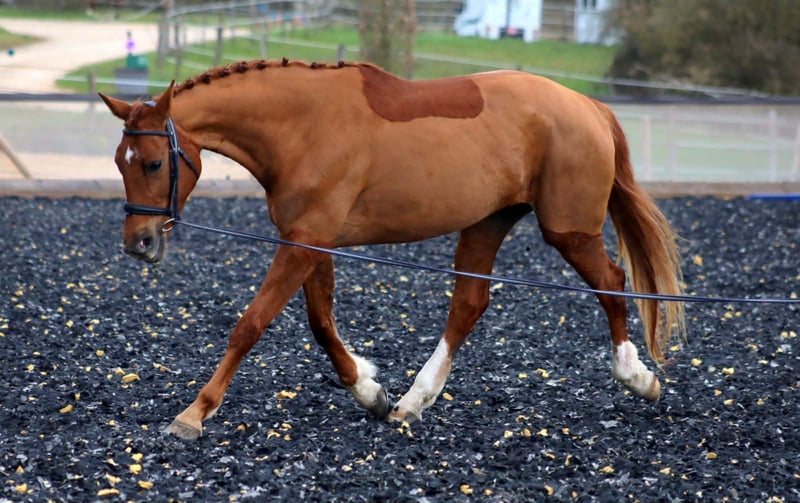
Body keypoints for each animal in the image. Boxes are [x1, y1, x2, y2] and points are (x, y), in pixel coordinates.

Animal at [99, 58, 685, 440]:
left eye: (153, 162)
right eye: (118, 162)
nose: (139, 243)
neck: (302, 126)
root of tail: (588, 105)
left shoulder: (303, 242)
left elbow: (251, 324)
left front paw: (194, 414)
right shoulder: (312, 241)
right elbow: (321, 324)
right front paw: (369, 391)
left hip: (568, 230)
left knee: (611, 282)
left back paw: (637, 377)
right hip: (486, 223)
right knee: (468, 305)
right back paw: (411, 402)